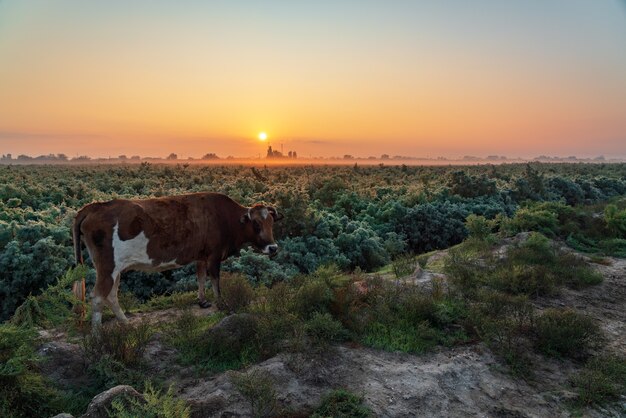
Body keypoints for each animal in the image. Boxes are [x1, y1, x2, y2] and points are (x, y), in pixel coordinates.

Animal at [71, 191, 282, 328]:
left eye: (271, 222)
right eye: (256, 224)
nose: (273, 248)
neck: (226, 218)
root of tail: (95, 206)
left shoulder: (201, 256)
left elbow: (200, 277)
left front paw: (202, 301)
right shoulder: (214, 256)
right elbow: (215, 281)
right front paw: (222, 304)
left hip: (115, 269)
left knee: (111, 295)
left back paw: (125, 323)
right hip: (108, 267)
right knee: (98, 297)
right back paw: (97, 335)